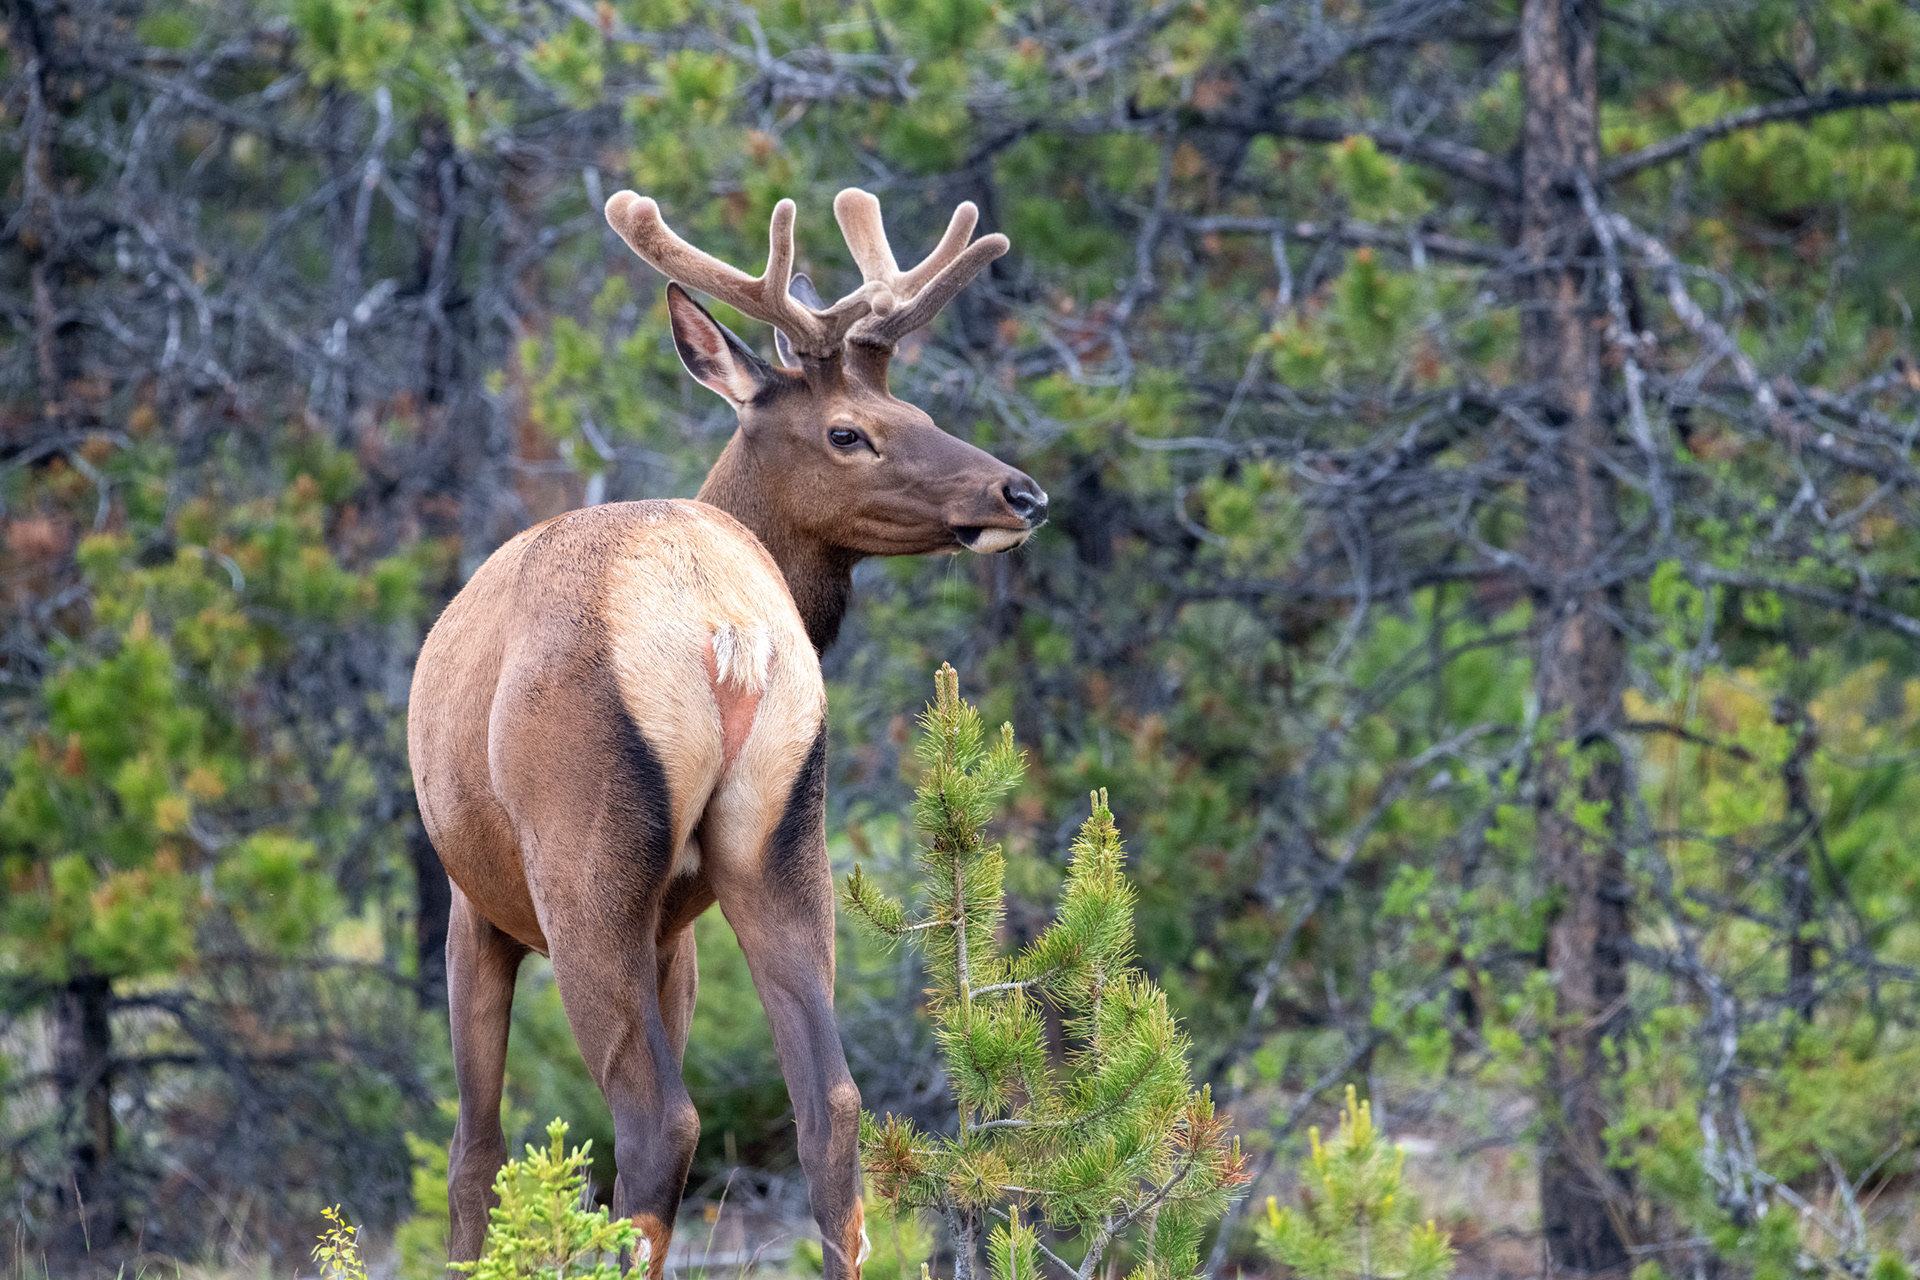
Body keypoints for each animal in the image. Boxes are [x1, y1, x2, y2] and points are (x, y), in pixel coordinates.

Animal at [406, 187, 1047, 1280]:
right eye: (853, 431)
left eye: (912, 416)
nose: (1021, 491)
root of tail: (728, 630)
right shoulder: (679, 922)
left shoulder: (470, 897)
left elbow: (473, 1155)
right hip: (782, 833)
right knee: (832, 1105)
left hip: (584, 860)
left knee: (655, 1122)